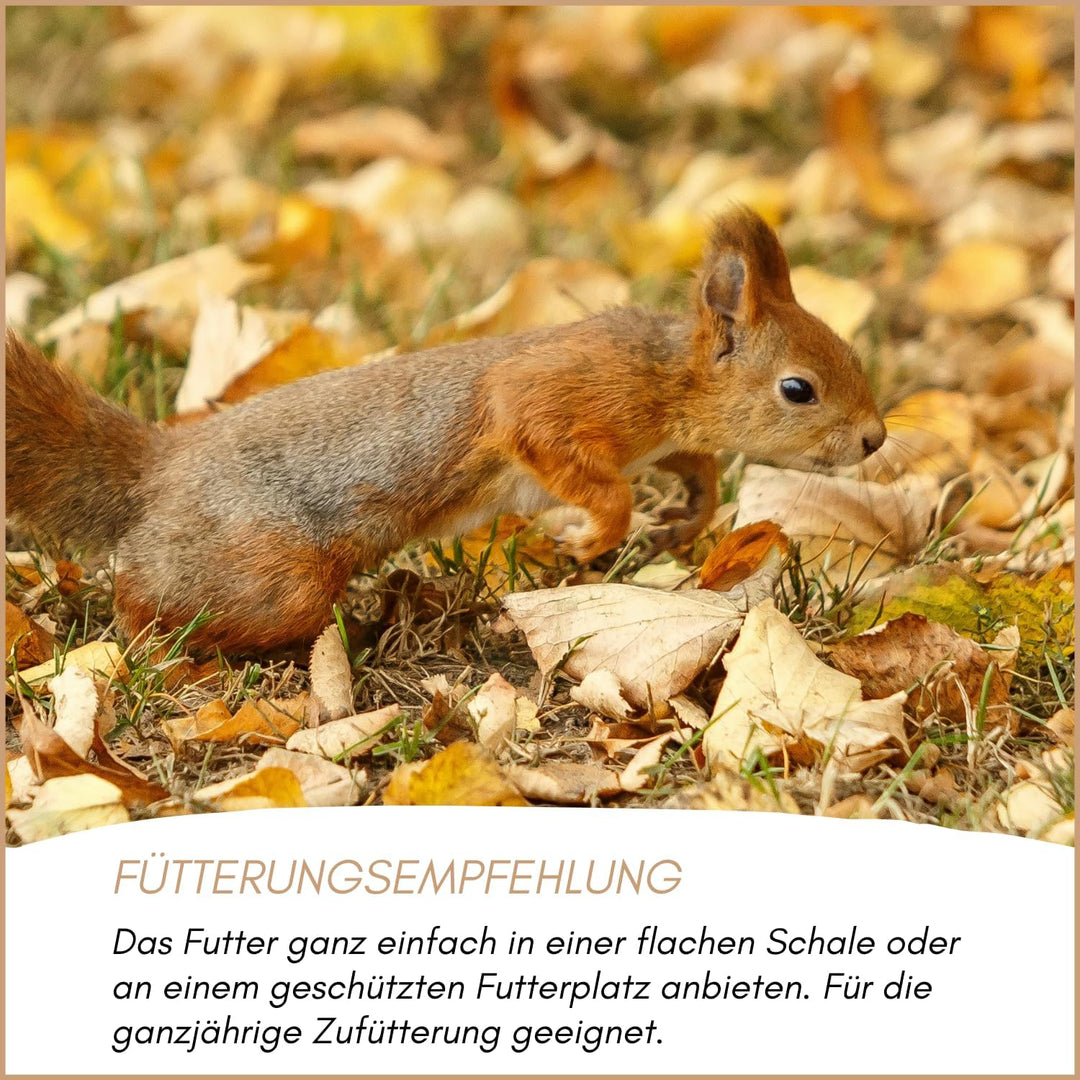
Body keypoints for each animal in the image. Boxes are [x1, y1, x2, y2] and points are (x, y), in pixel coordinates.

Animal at [6, 206, 886, 654]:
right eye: (799, 389)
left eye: (851, 353)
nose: (875, 439)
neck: (669, 373)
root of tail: (157, 470)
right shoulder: (561, 393)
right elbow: (574, 464)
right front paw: (592, 535)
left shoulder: (663, 436)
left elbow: (697, 466)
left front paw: (688, 517)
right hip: (270, 575)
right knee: (149, 598)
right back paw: (155, 645)